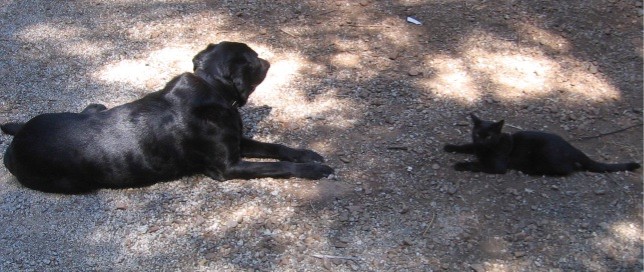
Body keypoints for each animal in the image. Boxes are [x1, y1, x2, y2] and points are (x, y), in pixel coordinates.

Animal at [0, 41, 332, 192]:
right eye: (254, 59)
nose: (268, 60)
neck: (211, 87)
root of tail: (17, 141)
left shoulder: (237, 141)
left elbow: (277, 147)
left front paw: (308, 154)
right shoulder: (229, 166)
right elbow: (277, 165)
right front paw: (314, 170)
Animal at [446, 113, 640, 175]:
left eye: (489, 137)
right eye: (478, 134)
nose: (481, 141)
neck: (486, 149)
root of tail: (572, 148)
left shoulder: (497, 166)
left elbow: (477, 164)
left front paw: (460, 164)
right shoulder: (475, 147)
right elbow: (466, 146)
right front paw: (450, 147)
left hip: (548, 156)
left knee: (568, 169)